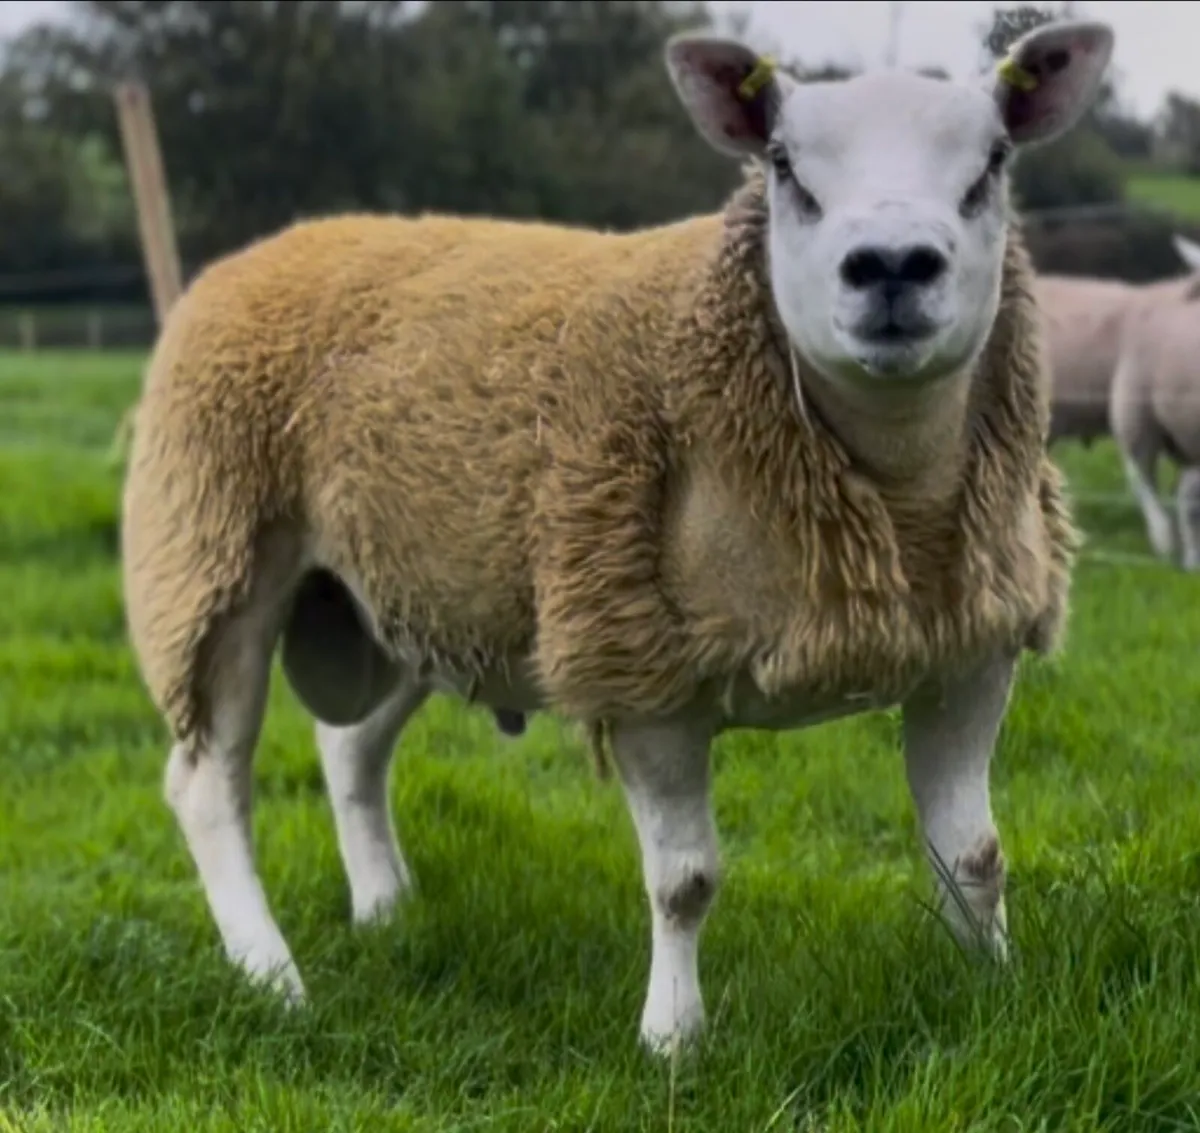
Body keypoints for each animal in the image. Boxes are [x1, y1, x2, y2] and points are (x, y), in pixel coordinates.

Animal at [120, 18, 1112, 1054]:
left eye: (993, 161)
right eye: (784, 165)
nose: (890, 265)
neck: (893, 494)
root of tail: (262, 251)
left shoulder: (970, 650)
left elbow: (974, 853)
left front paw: (995, 991)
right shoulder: (641, 668)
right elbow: (685, 882)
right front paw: (673, 1039)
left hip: (411, 596)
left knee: (348, 749)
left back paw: (384, 908)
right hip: (209, 562)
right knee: (208, 785)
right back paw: (270, 973)